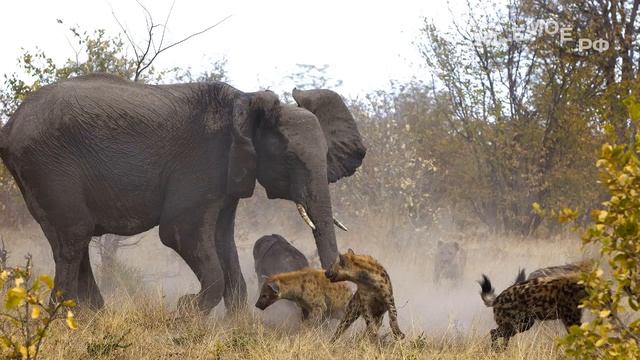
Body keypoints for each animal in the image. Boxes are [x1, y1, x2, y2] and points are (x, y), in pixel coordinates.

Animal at [0, 73, 364, 312]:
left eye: (327, 156)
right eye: (289, 158)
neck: (247, 101)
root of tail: (9, 127)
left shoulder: (227, 175)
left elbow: (222, 240)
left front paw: (234, 326)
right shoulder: (201, 163)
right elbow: (180, 233)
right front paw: (185, 313)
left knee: (72, 237)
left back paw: (92, 315)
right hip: (48, 167)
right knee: (73, 237)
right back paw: (65, 317)